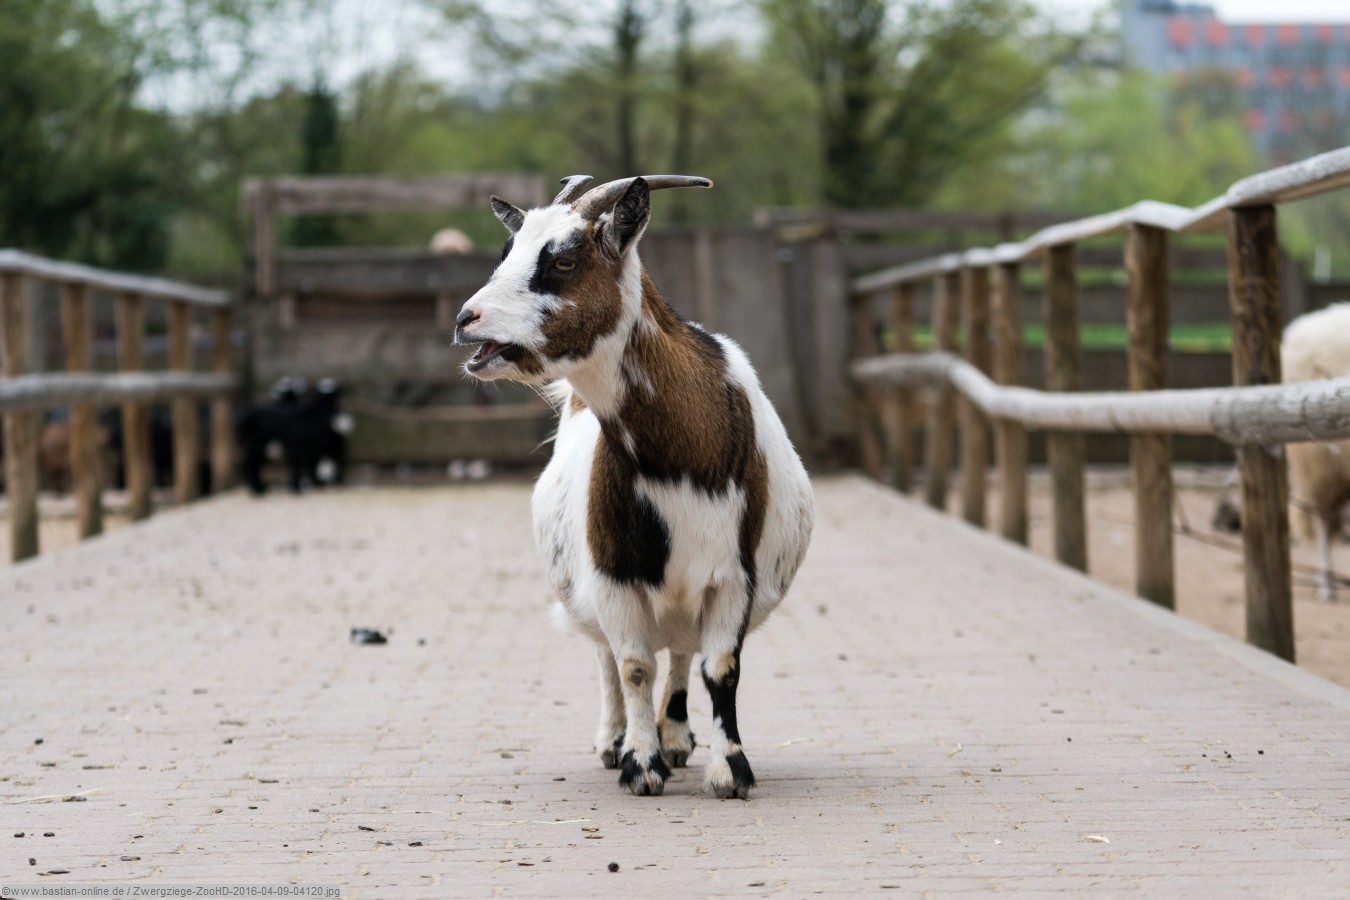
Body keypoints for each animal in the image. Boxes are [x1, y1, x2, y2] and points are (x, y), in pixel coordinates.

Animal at [454, 174, 814, 799]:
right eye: (508, 250)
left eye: (564, 259)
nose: (465, 319)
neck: (681, 456)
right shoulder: (613, 572)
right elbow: (632, 667)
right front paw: (640, 765)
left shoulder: (733, 575)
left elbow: (720, 668)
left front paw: (729, 770)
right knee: (609, 657)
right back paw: (616, 739)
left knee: (682, 651)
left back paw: (676, 737)